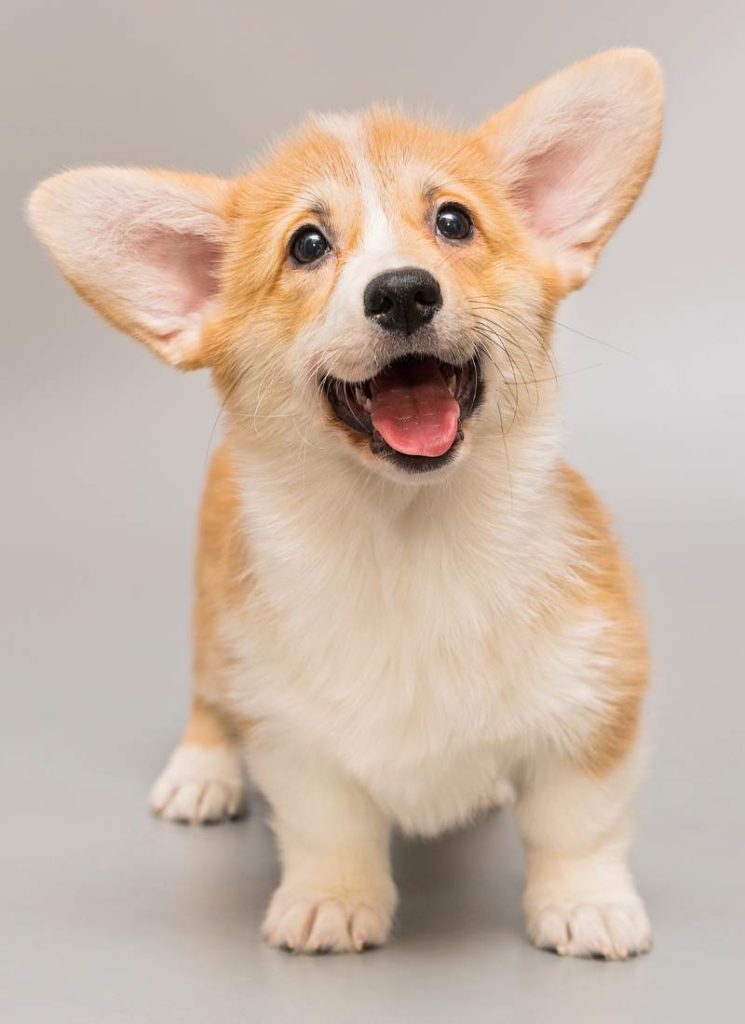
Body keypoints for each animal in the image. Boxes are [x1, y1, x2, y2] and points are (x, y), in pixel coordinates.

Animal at [27, 49, 663, 958]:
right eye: (307, 244)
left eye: (453, 222)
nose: (401, 292)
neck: (408, 539)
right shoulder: (291, 731)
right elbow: (329, 825)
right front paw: (331, 901)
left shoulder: (594, 700)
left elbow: (576, 823)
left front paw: (585, 905)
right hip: (211, 617)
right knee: (205, 695)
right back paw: (200, 772)